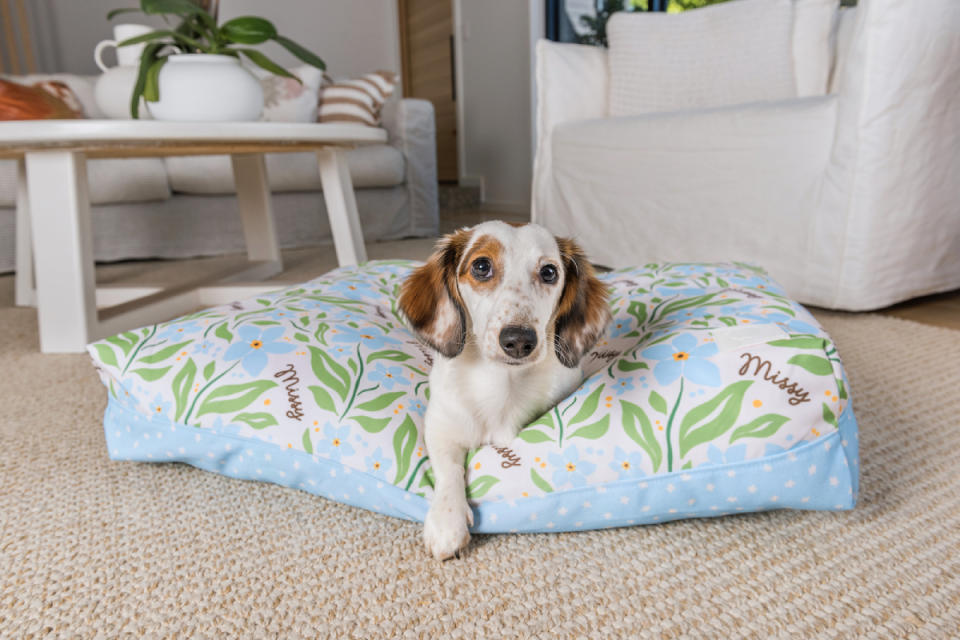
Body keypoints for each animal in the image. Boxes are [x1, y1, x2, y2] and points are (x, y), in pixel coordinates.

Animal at [396, 221, 608, 560]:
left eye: (549, 272)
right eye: (481, 266)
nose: (519, 340)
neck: (502, 383)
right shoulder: (440, 428)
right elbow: (449, 470)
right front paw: (446, 520)